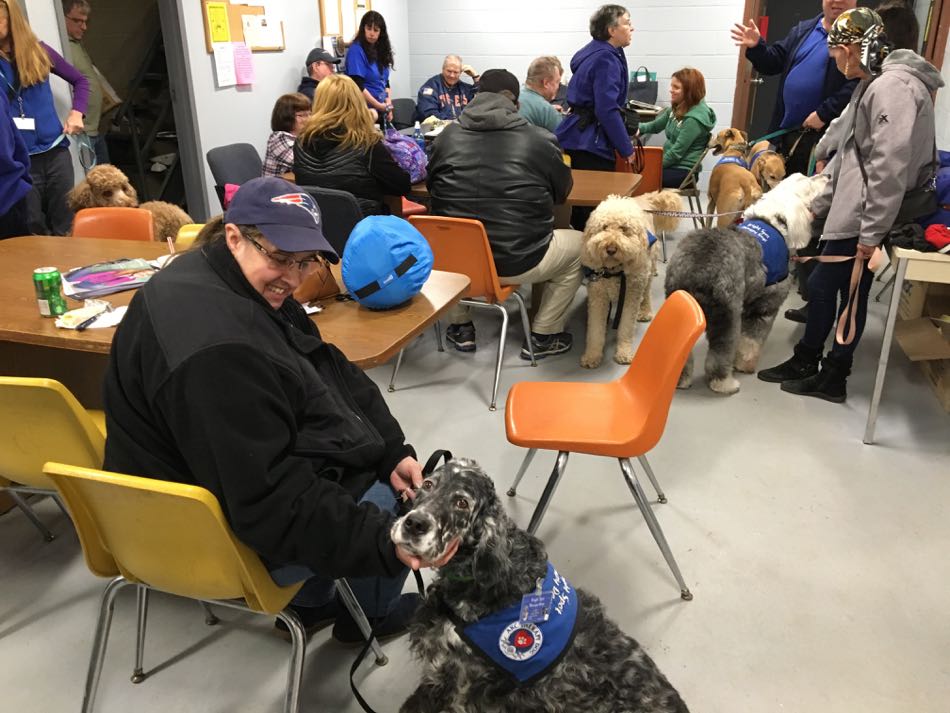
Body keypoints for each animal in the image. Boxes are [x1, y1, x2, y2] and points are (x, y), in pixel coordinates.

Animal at [580, 191, 684, 368]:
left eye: (624, 229)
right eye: (604, 227)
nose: (610, 248)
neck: (614, 271)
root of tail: (643, 199)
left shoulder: (630, 297)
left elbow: (626, 327)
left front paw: (624, 352)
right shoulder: (598, 297)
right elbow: (595, 330)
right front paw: (592, 355)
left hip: (647, 269)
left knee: (647, 292)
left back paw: (645, 311)